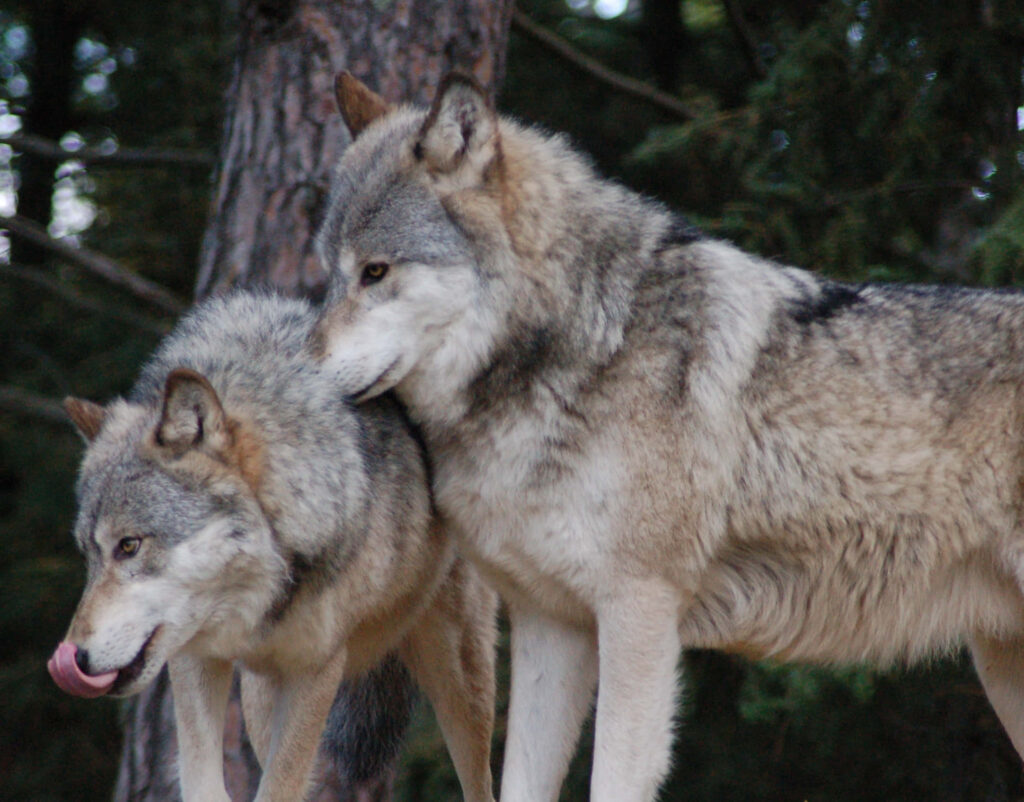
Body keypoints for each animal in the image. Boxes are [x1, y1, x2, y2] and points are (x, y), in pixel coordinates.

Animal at [47, 291, 497, 802]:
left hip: (460, 681)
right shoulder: (195, 658)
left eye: (129, 546)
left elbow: (280, 786)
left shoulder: (316, 669)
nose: (75, 658)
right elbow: (204, 781)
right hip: (260, 696)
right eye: (89, 555)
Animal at [309, 71, 1024, 802]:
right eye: (331, 273)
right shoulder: (550, 626)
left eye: (375, 271)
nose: (302, 372)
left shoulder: (640, 614)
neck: (580, 345)